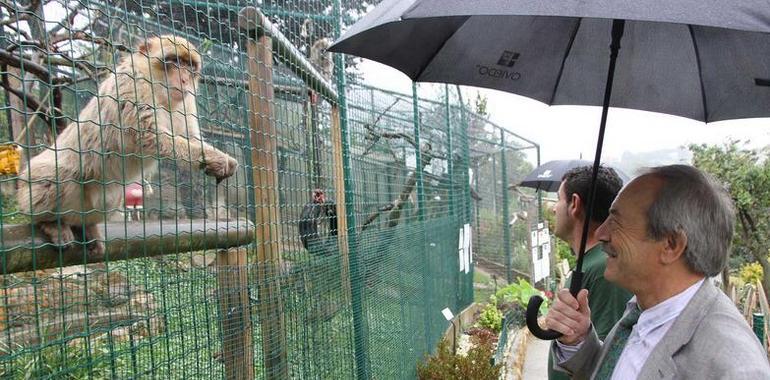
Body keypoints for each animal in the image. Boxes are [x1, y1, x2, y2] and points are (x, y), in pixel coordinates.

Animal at [19, 35, 238, 256]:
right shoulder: (133, 83)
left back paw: (86, 226)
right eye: (174, 61)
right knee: (59, 175)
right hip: (37, 179)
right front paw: (216, 159)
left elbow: (189, 137)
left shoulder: (186, 102)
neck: (159, 91)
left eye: (190, 66)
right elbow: (148, 135)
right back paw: (49, 223)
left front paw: (220, 158)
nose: (184, 80)